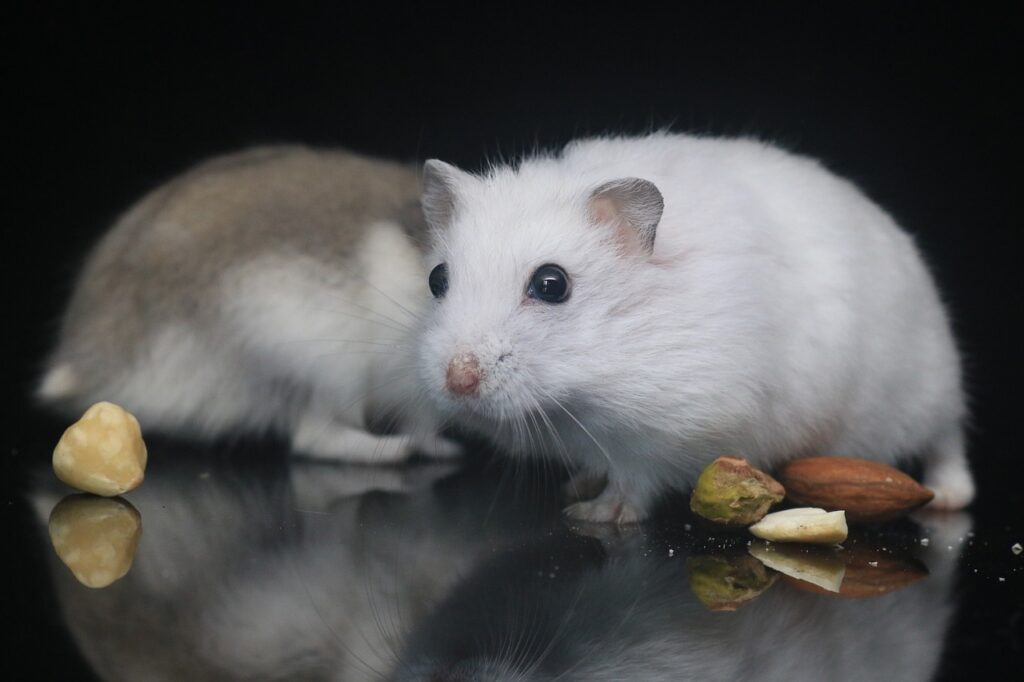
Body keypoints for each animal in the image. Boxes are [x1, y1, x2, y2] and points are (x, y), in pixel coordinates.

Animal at [38, 146, 459, 463]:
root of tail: (83, 361)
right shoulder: (411, 386)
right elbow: (422, 424)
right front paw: (442, 449)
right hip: (326, 374)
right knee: (314, 439)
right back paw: (401, 451)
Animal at [417, 132, 974, 524]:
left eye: (551, 284)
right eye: (436, 279)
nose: (457, 382)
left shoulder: (680, 429)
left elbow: (633, 482)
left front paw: (595, 516)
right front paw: (578, 488)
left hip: (928, 389)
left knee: (947, 440)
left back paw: (948, 496)